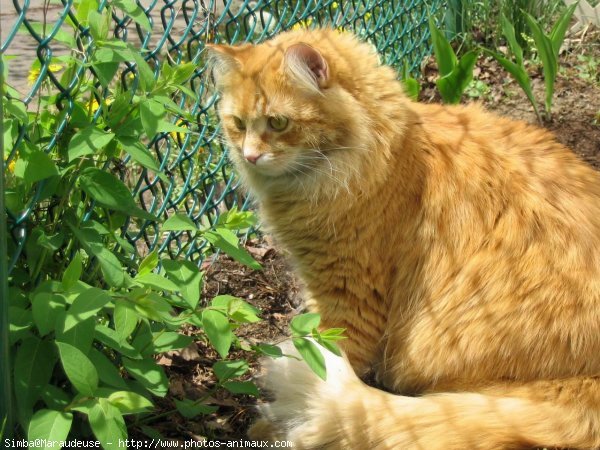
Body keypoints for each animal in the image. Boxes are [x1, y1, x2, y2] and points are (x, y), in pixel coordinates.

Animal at [209, 29, 600, 448]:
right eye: (237, 124)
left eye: (278, 123)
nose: (249, 156)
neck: (393, 152)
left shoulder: (346, 292)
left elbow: (324, 352)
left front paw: (265, 428)